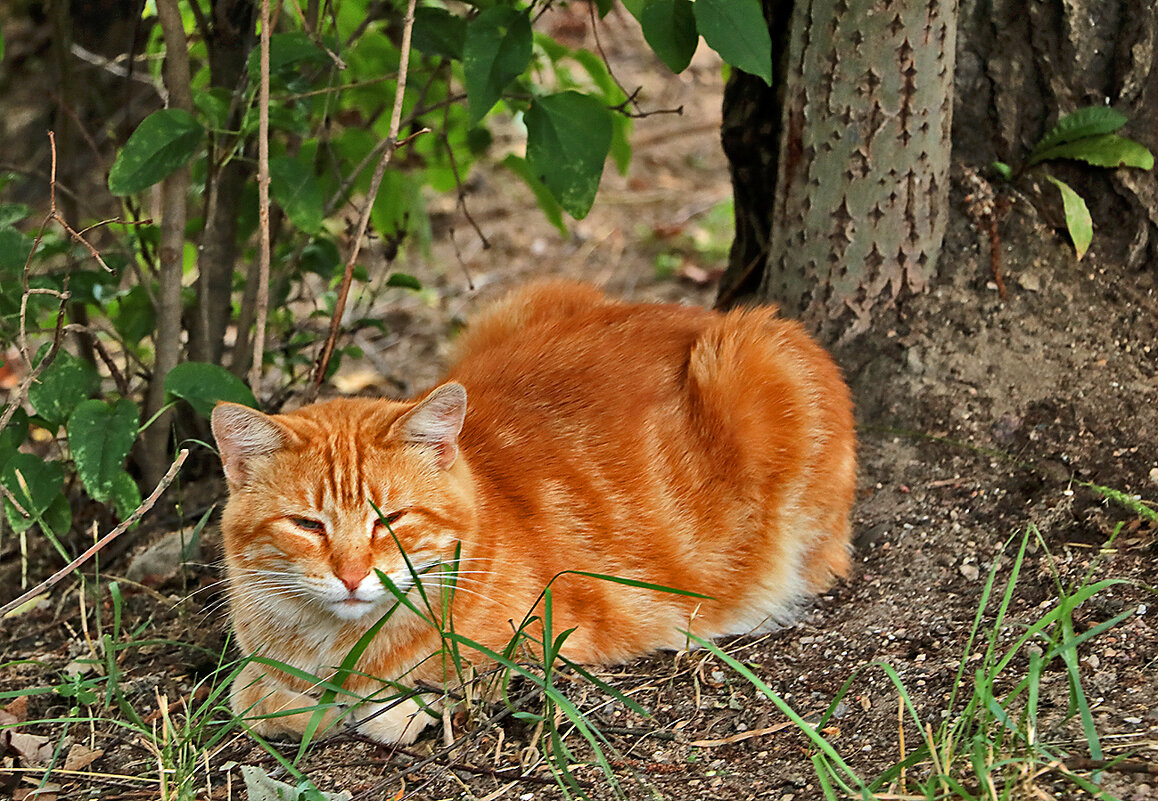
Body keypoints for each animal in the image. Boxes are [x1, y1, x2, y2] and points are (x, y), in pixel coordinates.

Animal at [213, 281, 856, 745]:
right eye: (307, 525)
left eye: (390, 520)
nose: (350, 576)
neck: (334, 645)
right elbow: (247, 696)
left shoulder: (529, 650)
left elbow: (390, 698)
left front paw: (367, 709)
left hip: (760, 362)